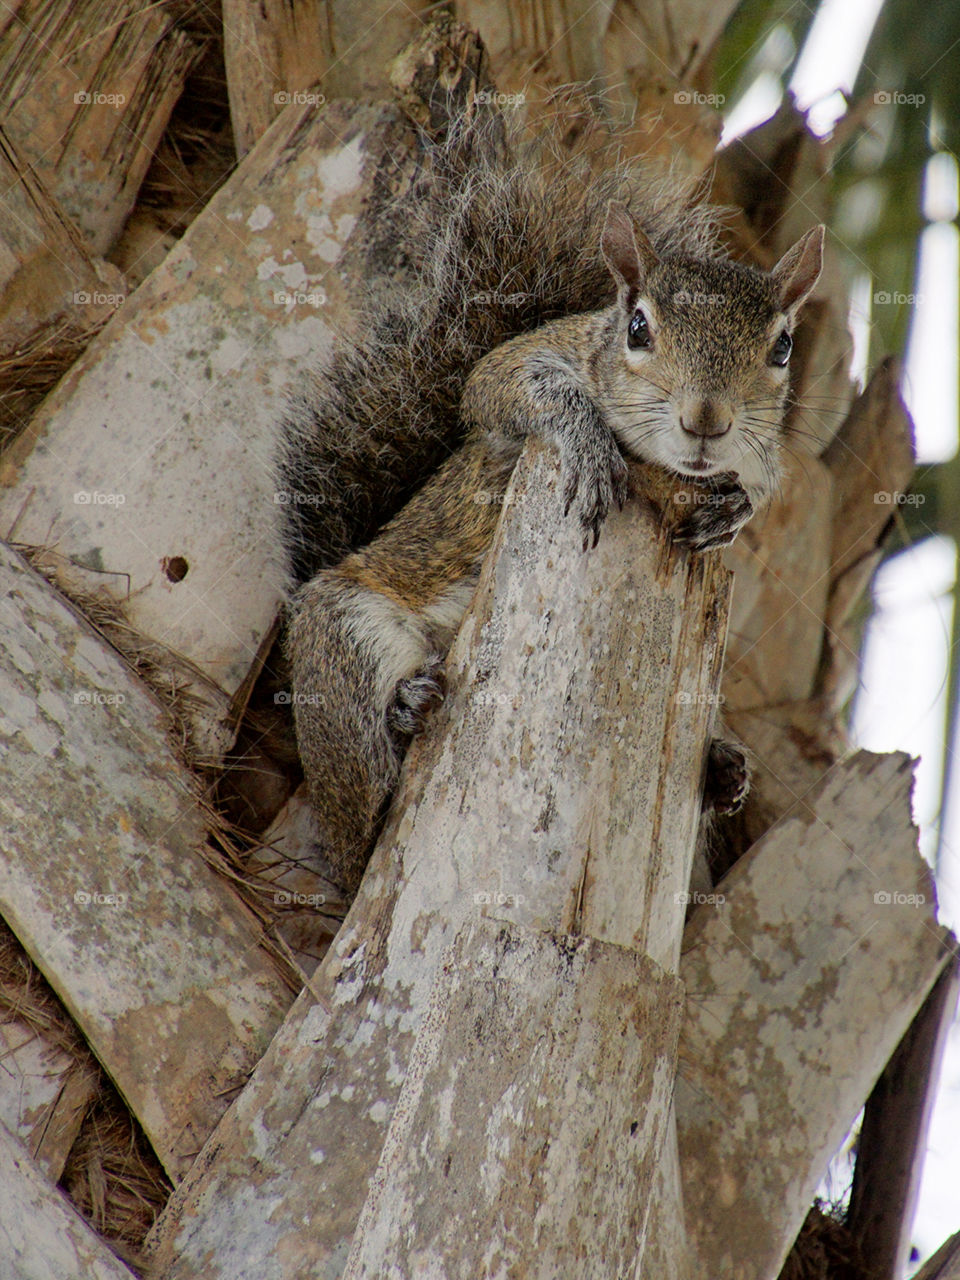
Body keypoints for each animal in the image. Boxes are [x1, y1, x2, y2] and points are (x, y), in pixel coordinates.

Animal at [276, 109, 824, 894]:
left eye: (783, 349)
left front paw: (734, 513)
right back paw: (403, 718)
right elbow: (505, 385)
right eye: (638, 328)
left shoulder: (756, 456)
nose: (707, 421)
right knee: (362, 819)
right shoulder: (515, 367)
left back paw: (724, 768)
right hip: (342, 640)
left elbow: (757, 483)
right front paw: (590, 445)